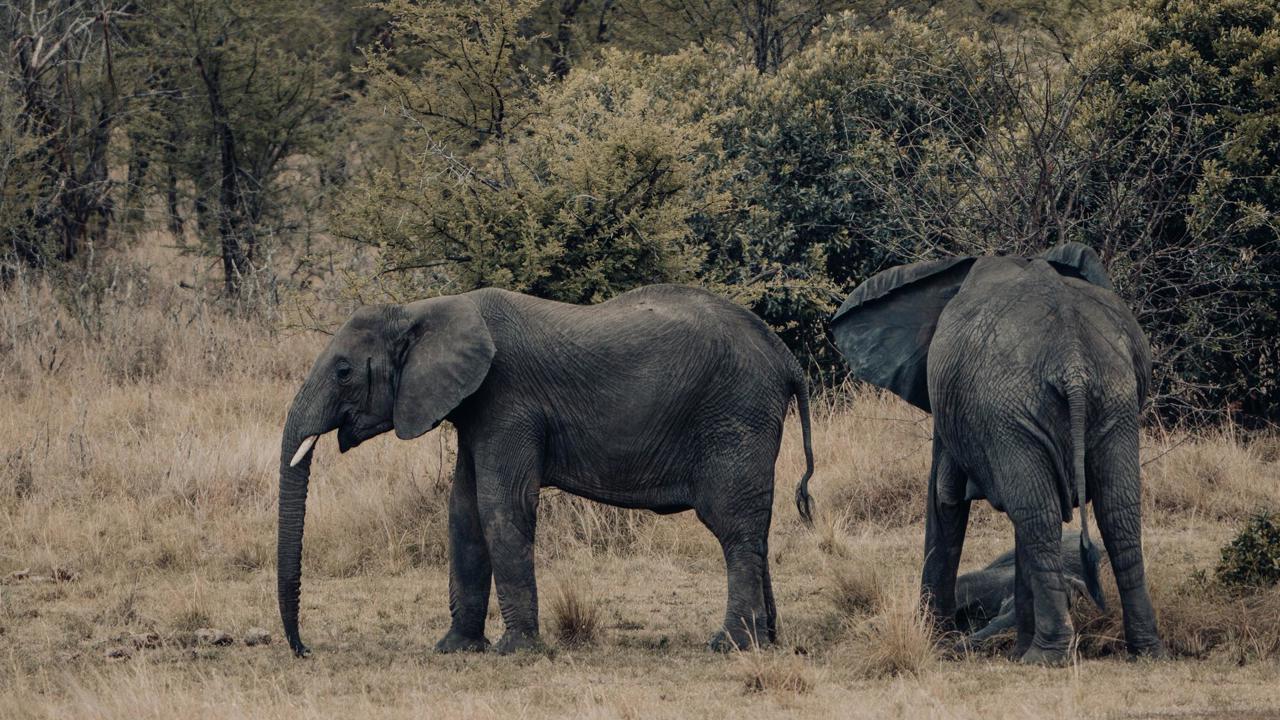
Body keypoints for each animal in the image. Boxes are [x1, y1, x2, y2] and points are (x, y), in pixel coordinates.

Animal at [277, 284, 815, 657]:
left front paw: (515, 651)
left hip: (736, 414)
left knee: (733, 527)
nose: (306, 650)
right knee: (754, 530)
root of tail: (787, 360)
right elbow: (463, 512)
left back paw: (730, 645)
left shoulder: (507, 401)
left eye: (343, 371)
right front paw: (454, 649)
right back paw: (767, 641)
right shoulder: (474, 409)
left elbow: (501, 507)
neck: (424, 308)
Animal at [830, 242, 1165, 665]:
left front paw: (936, 639)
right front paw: (1009, 647)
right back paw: (1144, 651)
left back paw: (1045, 657)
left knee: (1040, 515)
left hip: (1015, 407)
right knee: (1111, 513)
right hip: (1110, 399)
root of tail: (1072, 357)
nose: (953, 645)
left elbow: (945, 498)